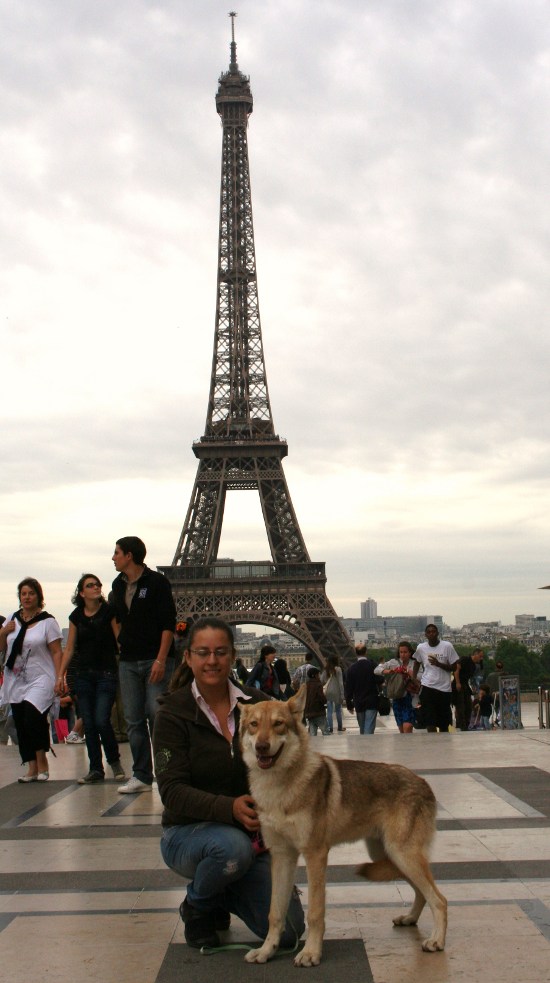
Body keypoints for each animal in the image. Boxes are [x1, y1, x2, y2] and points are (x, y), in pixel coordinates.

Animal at [242, 684, 448, 968]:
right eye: (253, 725)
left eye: (278, 724)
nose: (262, 747)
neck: (280, 788)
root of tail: (424, 782)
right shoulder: (282, 856)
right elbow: (275, 913)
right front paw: (266, 951)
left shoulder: (315, 855)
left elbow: (315, 913)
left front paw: (311, 953)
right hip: (390, 856)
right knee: (422, 892)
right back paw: (410, 919)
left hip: (402, 855)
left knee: (439, 899)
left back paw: (436, 941)